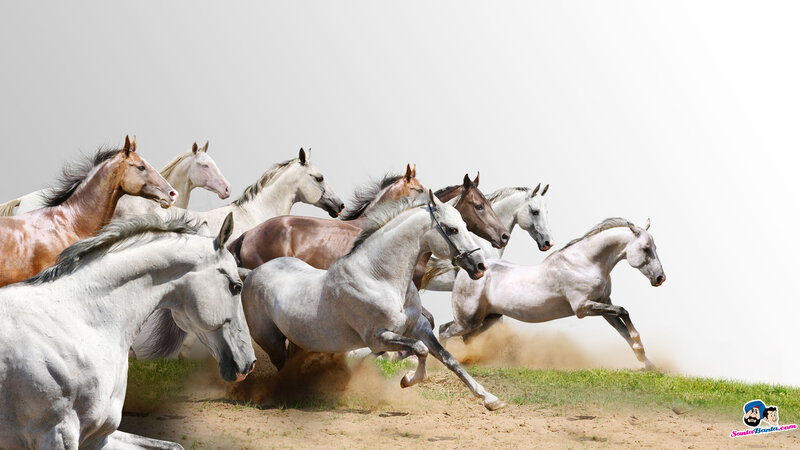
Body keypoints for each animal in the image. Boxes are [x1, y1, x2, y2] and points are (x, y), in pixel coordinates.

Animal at [0, 213, 256, 449]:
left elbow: (174, 445)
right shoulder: (57, 435)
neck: (82, 321)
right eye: (236, 287)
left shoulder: (100, 437)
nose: (249, 364)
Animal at [241, 192, 507, 411]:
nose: (480, 266)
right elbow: (419, 350)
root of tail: (251, 274)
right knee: (280, 367)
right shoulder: (378, 338)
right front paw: (407, 380)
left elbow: (448, 358)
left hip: (298, 339)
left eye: (465, 225)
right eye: (452, 229)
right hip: (271, 340)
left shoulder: (419, 327)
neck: (379, 277)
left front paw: (491, 399)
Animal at [440, 218, 666, 370]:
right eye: (646, 248)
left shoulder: (603, 304)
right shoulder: (583, 308)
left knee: (465, 338)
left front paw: (648, 364)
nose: (660, 278)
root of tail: (466, 271)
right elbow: (623, 311)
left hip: (486, 319)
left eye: (655, 246)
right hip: (468, 320)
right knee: (444, 330)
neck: (585, 263)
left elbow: (623, 330)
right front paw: (641, 348)